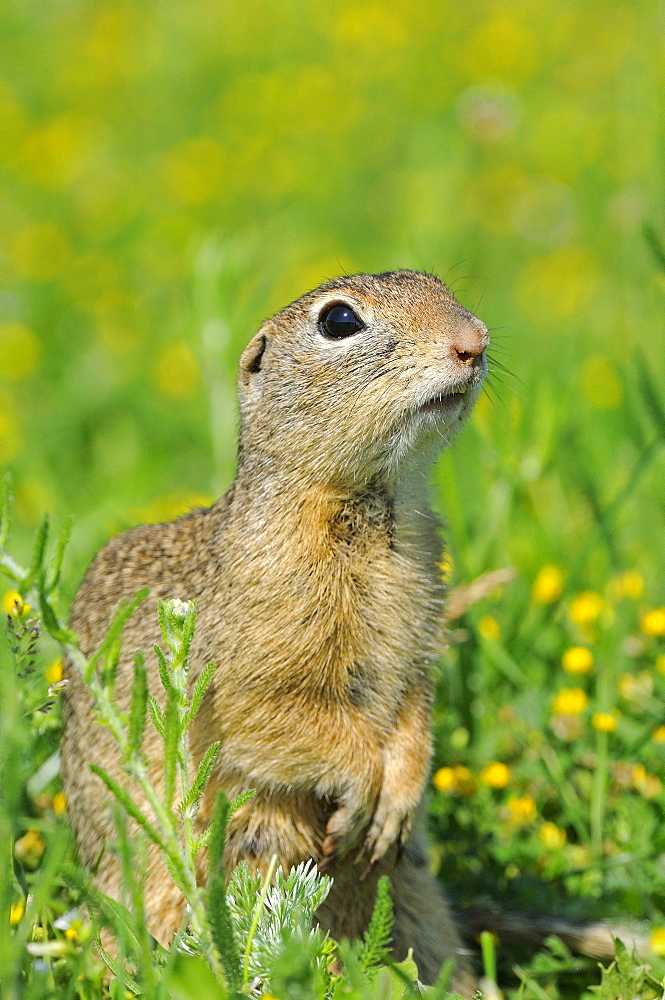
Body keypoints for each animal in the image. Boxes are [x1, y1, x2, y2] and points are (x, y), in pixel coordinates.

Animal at [61, 268, 488, 992]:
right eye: (339, 321)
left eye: (437, 282)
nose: (474, 342)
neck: (371, 503)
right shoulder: (250, 667)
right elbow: (284, 719)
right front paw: (362, 788)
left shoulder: (418, 643)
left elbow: (412, 714)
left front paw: (399, 796)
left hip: (417, 907)